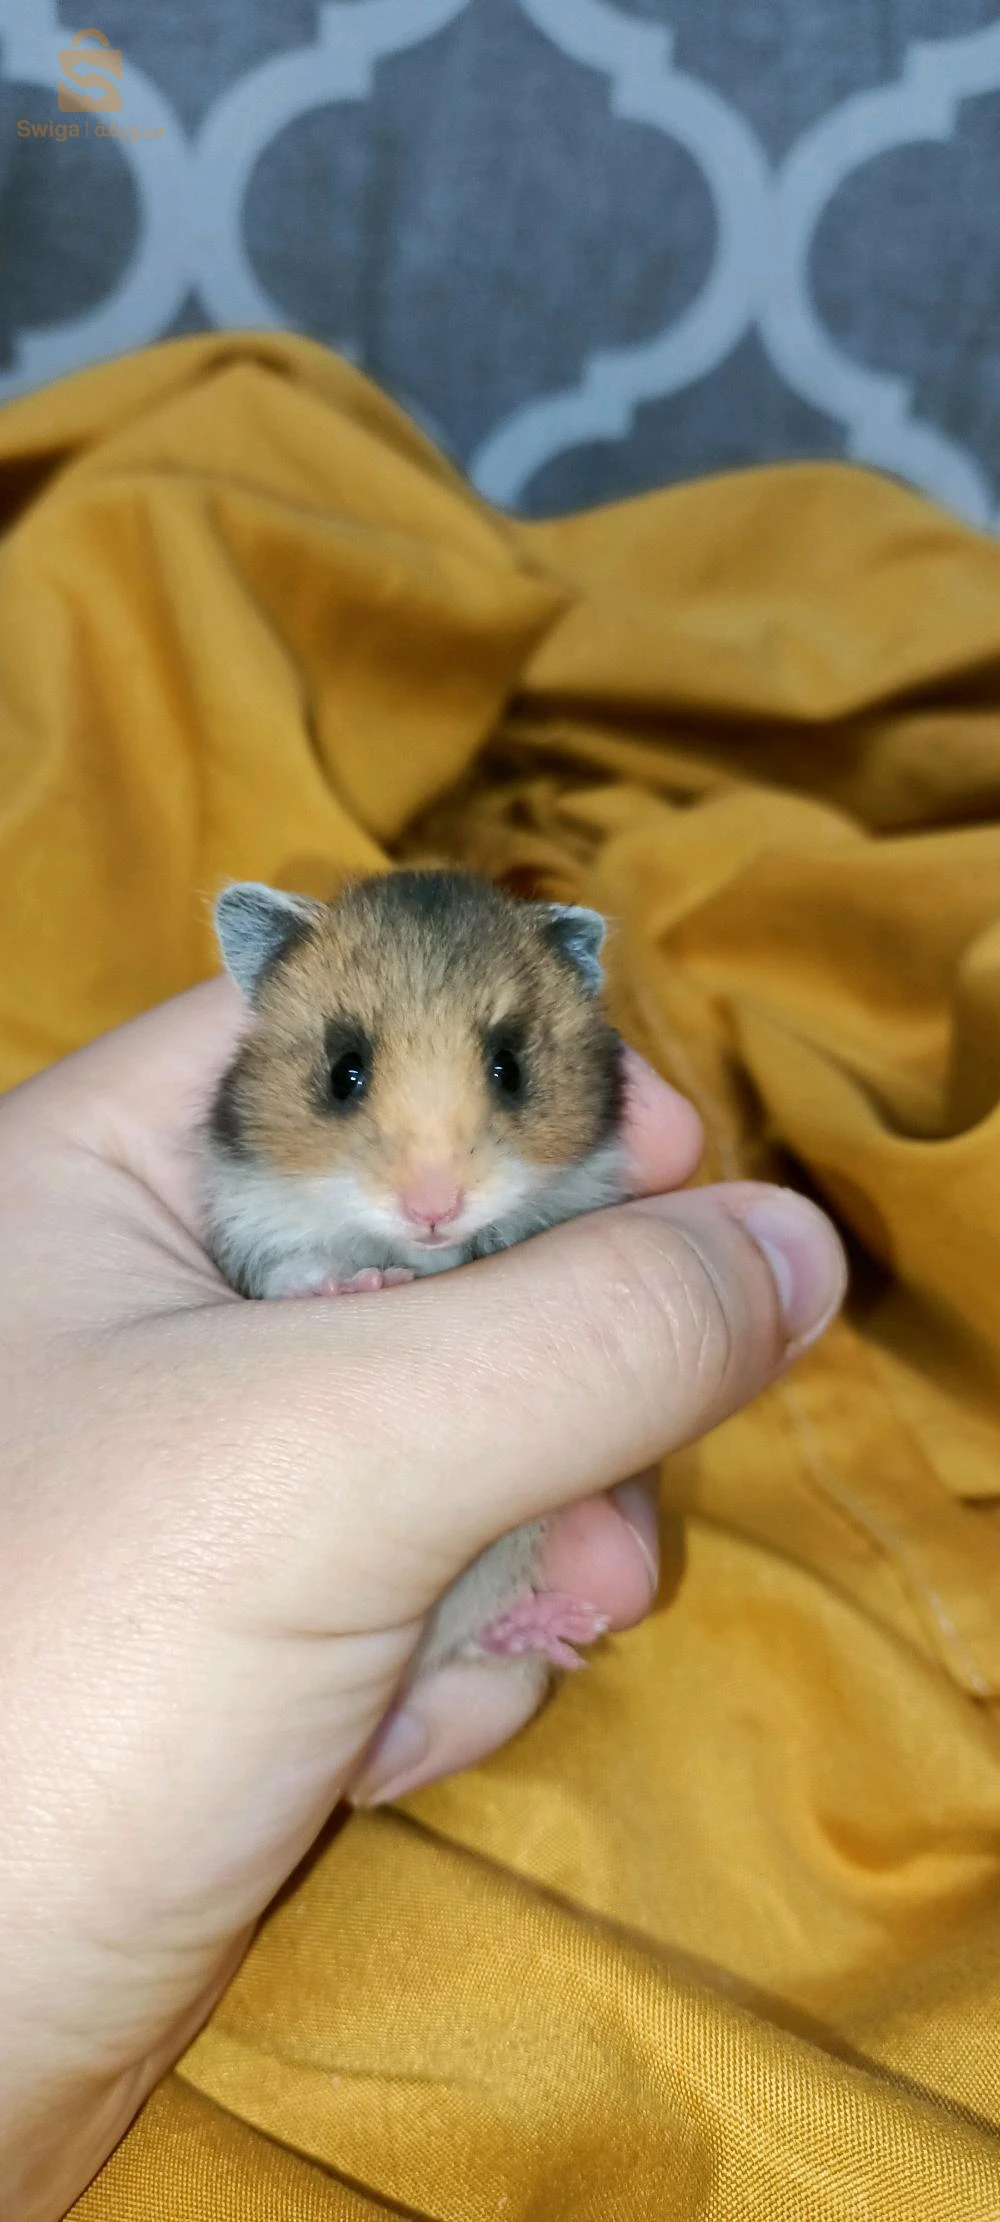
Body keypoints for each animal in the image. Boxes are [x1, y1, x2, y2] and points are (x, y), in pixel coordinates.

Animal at [203, 868, 631, 1694]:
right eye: (344, 1073)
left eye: (510, 1067)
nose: (433, 1211)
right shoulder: (252, 1229)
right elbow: (293, 1271)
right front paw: (361, 1284)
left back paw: (561, 1630)